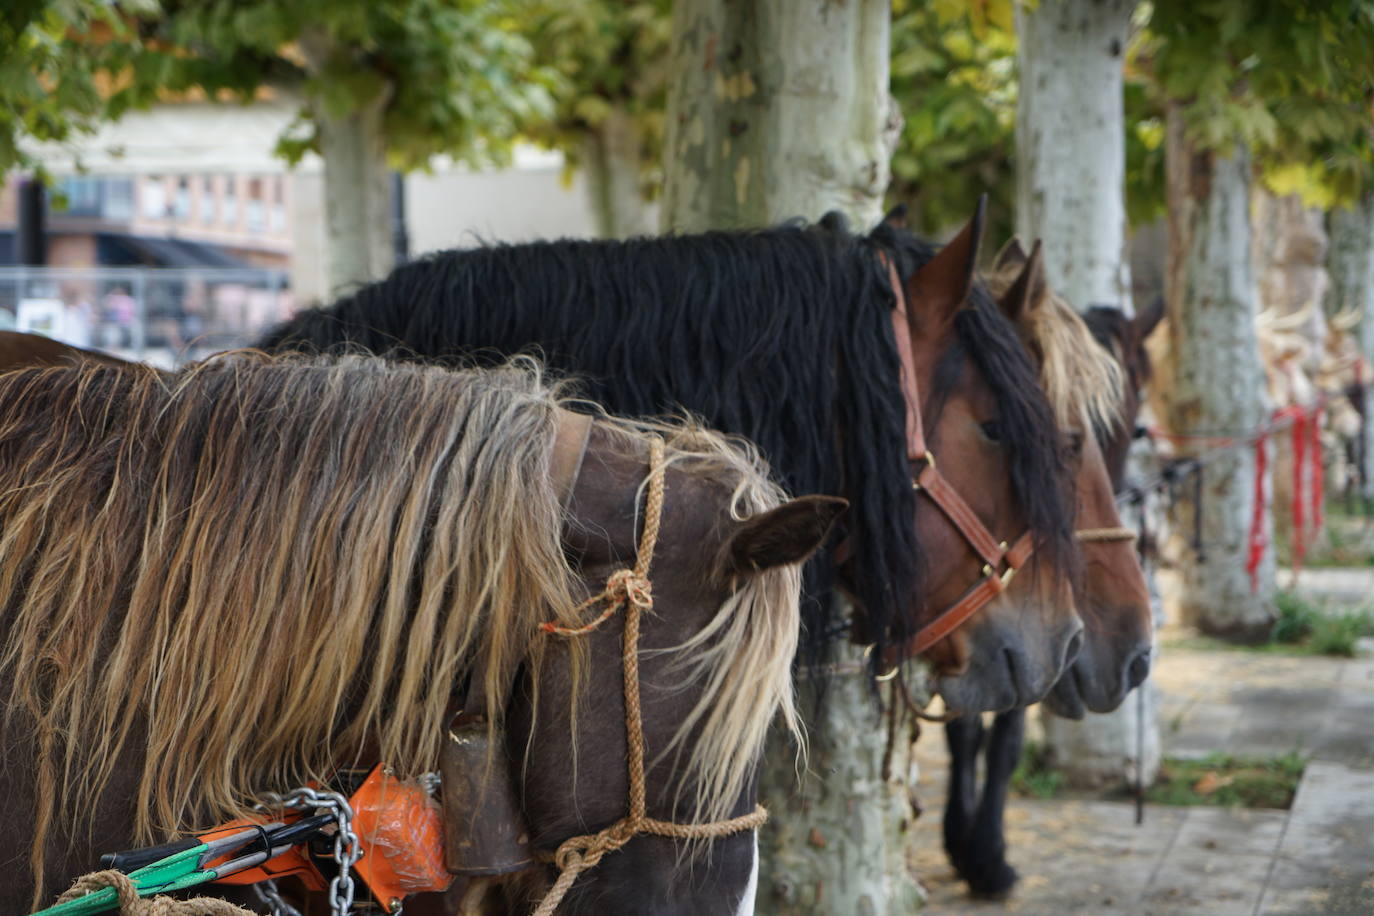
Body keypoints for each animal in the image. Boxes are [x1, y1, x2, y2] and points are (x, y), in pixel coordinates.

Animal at [945, 240, 1170, 900]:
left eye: (1124, 425)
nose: (1133, 655)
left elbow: (982, 730)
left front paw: (968, 846)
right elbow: (991, 733)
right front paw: (984, 854)